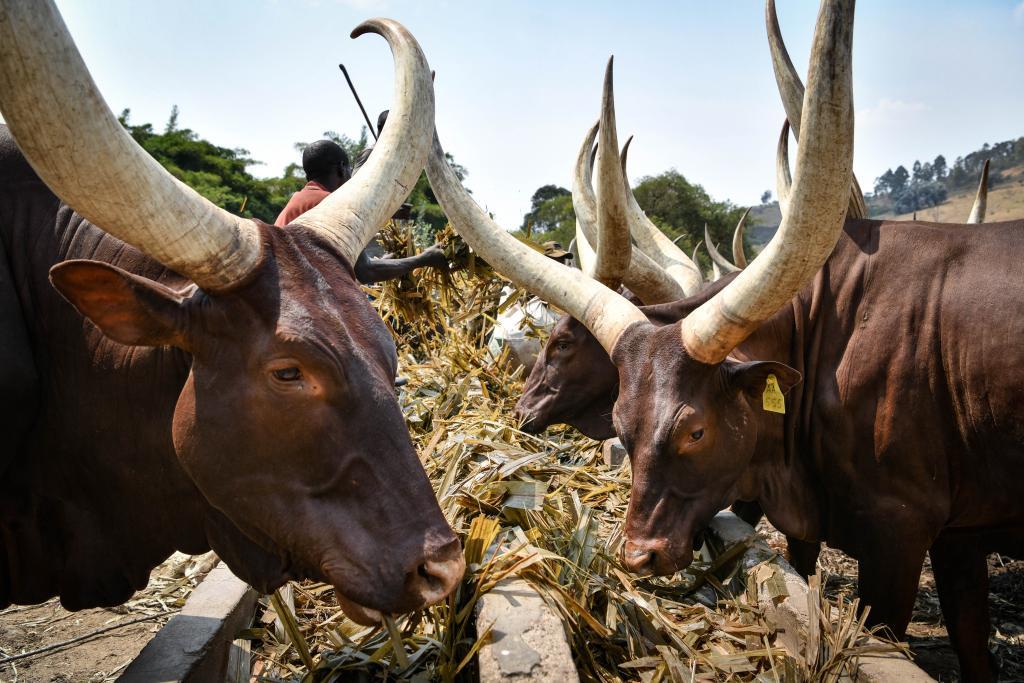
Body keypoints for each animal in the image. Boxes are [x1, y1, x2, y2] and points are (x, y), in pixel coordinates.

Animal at [428, 2, 1019, 679]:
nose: (638, 557)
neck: (833, 336)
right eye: (623, 425)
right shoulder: (954, 540)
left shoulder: (899, 538)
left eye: (695, 431)